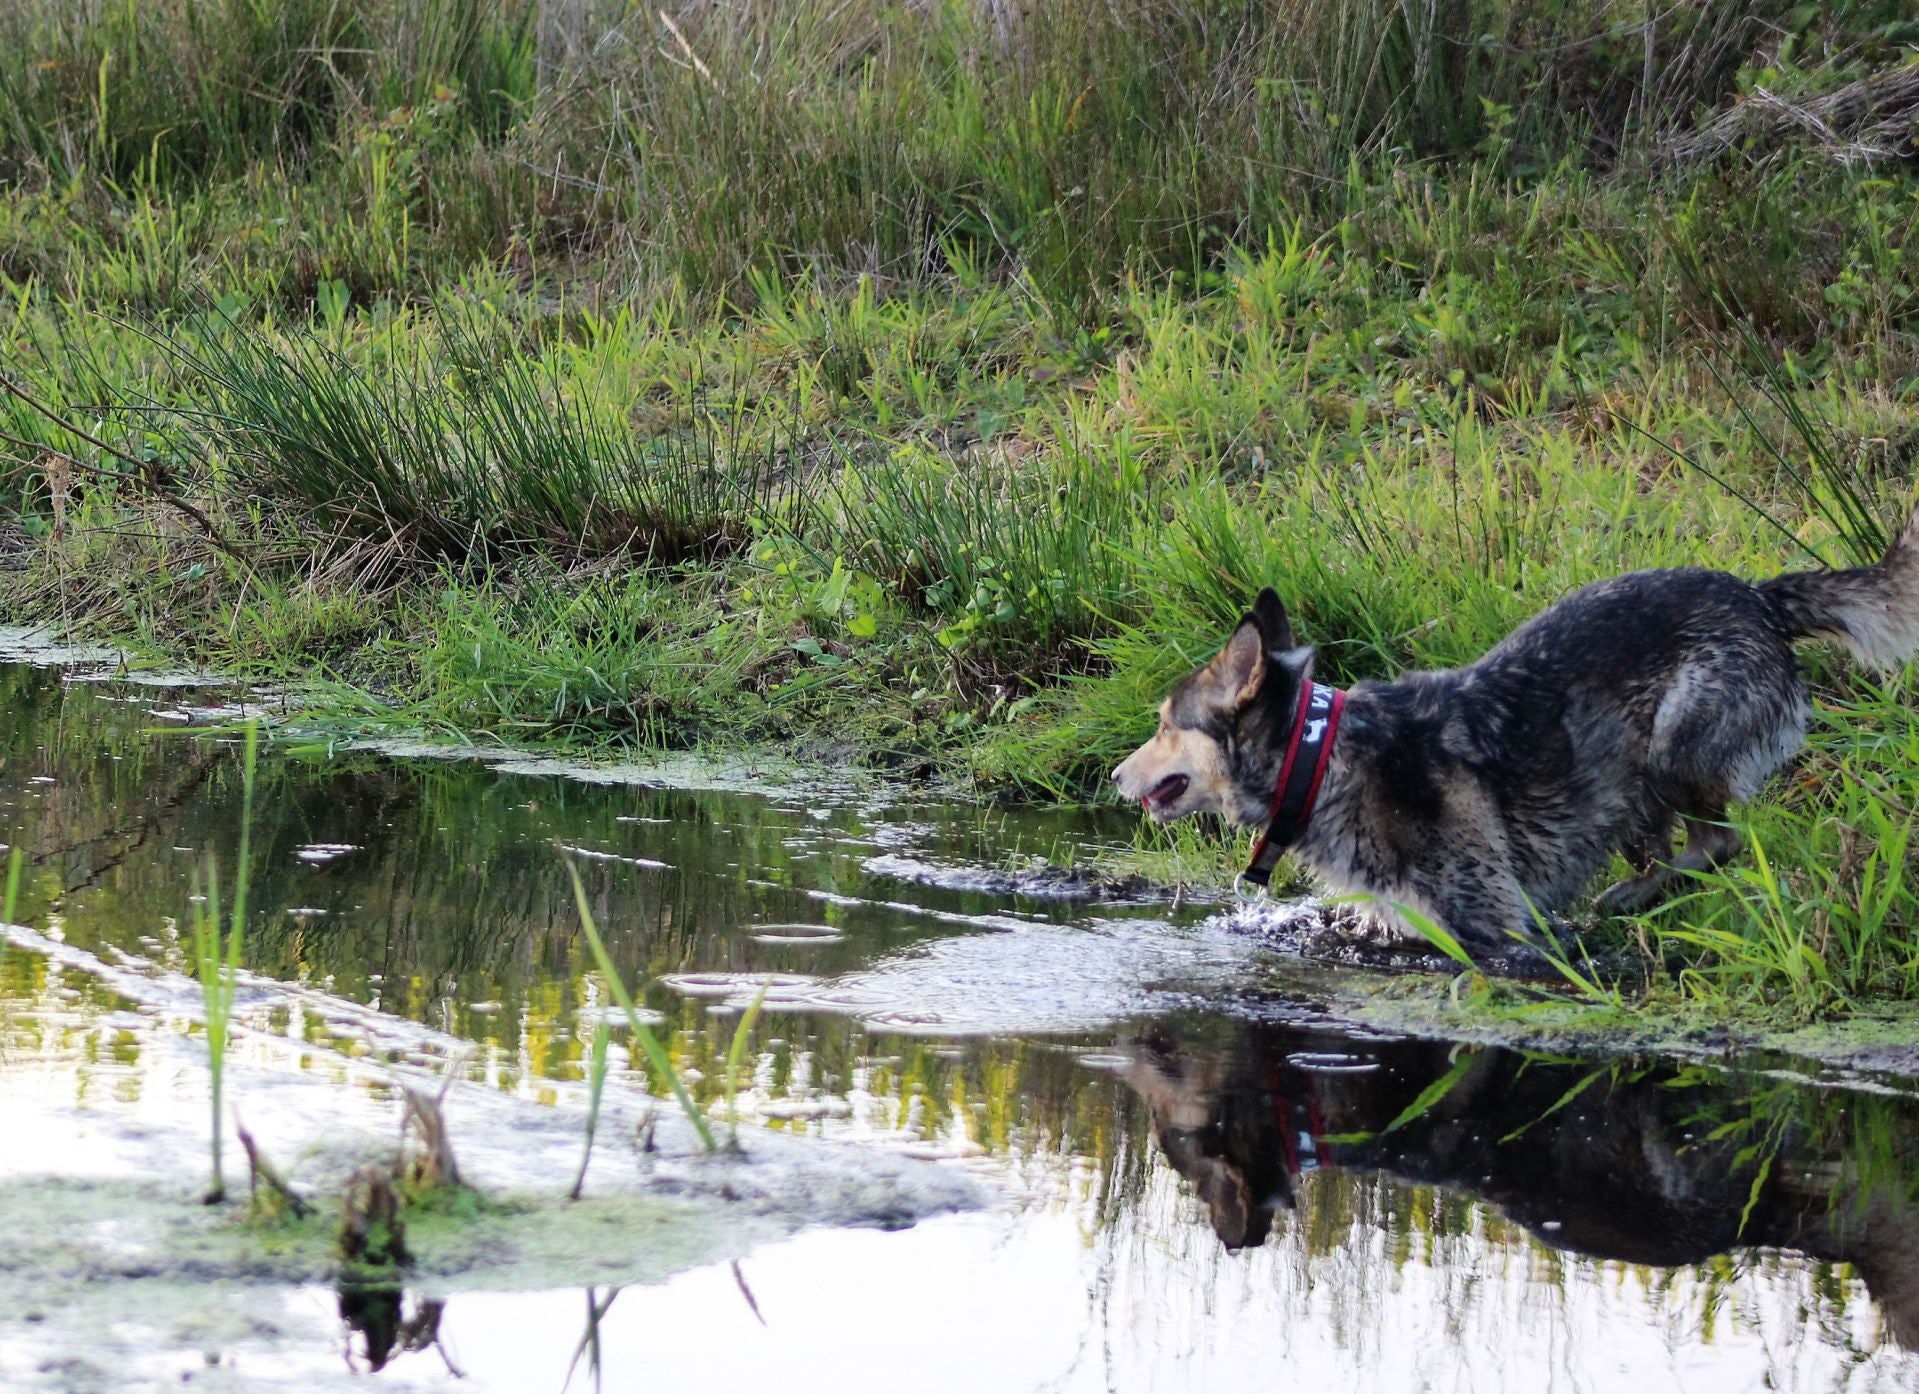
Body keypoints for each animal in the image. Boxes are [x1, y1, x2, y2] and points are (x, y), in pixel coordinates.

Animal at [1112, 509, 1919, 954]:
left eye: (1162, 725)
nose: (1116, 775)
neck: (1322, 759)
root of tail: (1758, 595)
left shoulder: (1489, 923)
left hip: (1672, 746)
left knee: (1716, 845)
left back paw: (1632, 897)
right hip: (1622, 786)